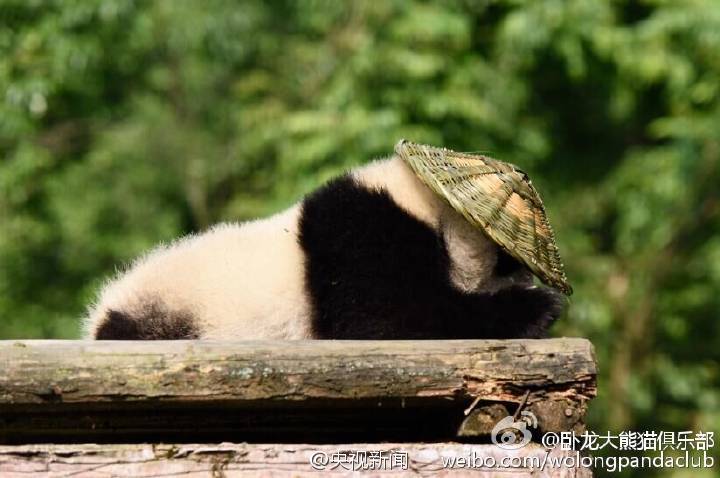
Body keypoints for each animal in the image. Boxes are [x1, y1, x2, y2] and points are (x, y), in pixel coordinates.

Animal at [84, 147, 565, 341]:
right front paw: (540, 306)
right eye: (505, 261)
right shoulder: (360, 236)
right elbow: (387, 319)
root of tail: (99, 320)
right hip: (173, 314)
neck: (424, 204)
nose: (525, 278)